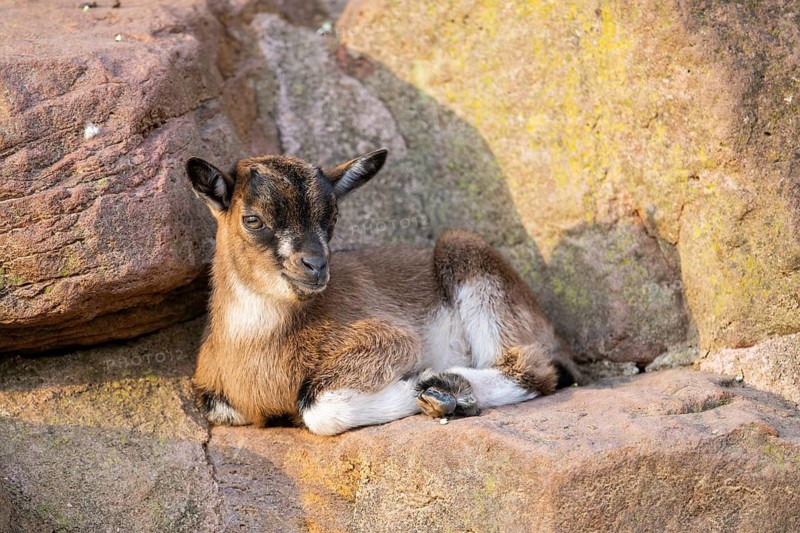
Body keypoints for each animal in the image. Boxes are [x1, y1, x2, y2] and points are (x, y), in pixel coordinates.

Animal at [186, 149, 581, 435]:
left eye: (332, 218)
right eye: (252, 219)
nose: (315, 265)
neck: (255, 345)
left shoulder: (390, 339)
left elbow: (317, 408)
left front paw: (418, 383)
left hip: (469, 259)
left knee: (534, 369)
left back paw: (443, 387)